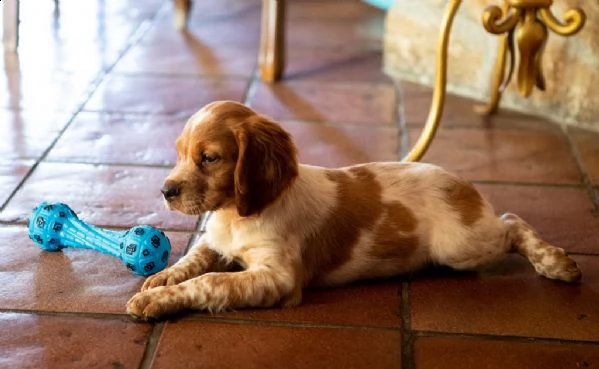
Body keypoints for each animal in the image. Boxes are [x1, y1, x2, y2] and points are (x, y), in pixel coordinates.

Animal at [126, 100, 580, 320]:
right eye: (180, 153)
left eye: (210, 158)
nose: (165, 191)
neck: (238, 214)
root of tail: (463, 184)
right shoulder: (217, 243)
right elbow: (194, 259)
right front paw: (160, 279)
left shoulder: (279, 277)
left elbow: (212, 282)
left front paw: (158, 301)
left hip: (462, 246)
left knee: (511, 222)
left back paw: (556, 262)